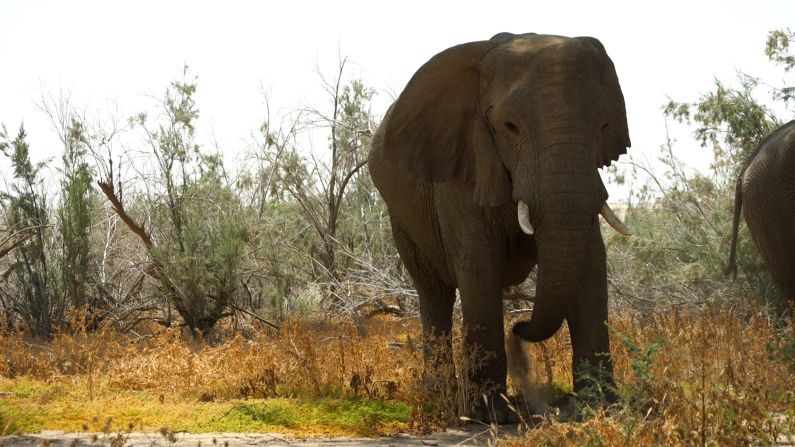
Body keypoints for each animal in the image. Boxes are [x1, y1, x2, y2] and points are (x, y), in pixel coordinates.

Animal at [368, 31, 636, 420]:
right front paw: (490, 415)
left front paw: (601, 408)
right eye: (510, 127)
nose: (519, 328)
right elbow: (479, 267)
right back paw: (441, 396)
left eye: (603, 127)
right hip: (402, 218)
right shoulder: (463, 166)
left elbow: (590, 266)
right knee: (434, 293)